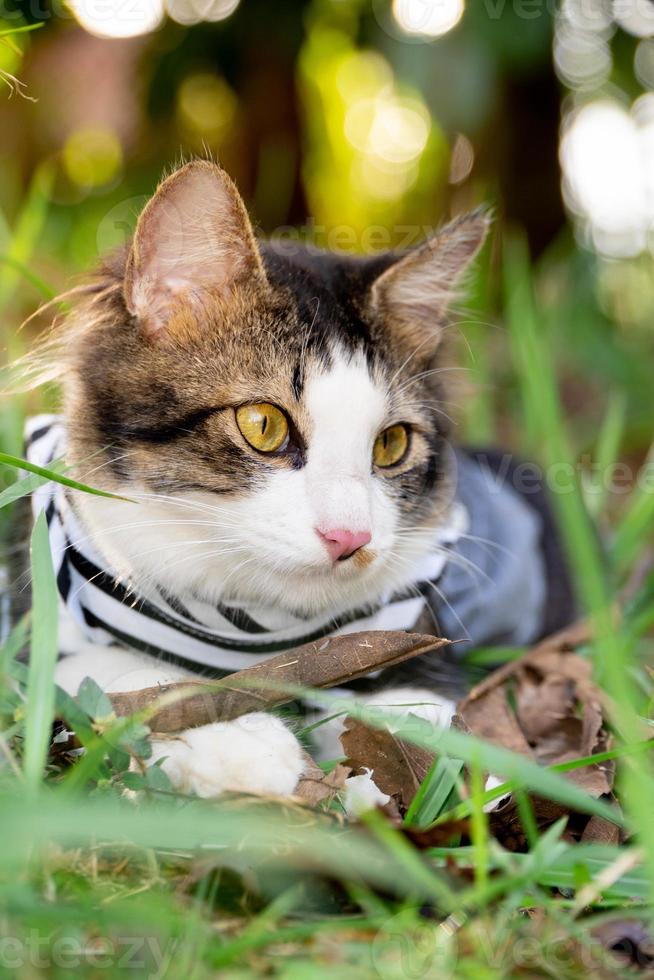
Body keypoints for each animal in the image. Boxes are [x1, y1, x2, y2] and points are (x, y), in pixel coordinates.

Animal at [18, 161, 576, 800]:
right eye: (263, 425)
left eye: (391, 444)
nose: (350, 538)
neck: (258, 633)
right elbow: (131, 676)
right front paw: (244, 745)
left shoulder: (413, 639)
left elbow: (420, 721)